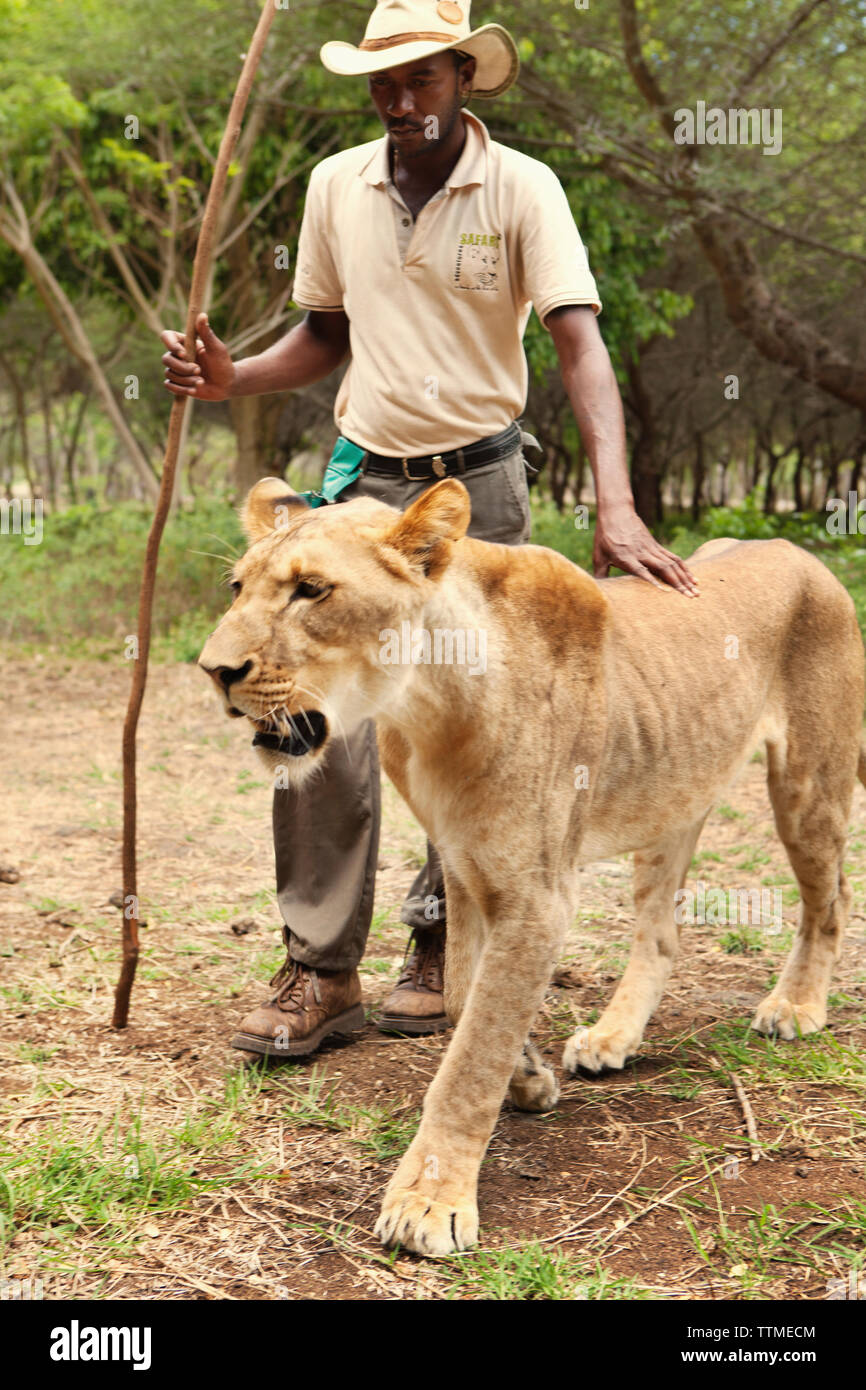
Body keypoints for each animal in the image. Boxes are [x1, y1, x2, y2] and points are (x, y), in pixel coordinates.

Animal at [199, 476, 866, 1258]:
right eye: (237, 588)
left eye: (311, 590)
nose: (216, 671)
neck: (426, 704)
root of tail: (800, 551)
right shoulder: (464, 867)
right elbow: (464, 996)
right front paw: (528, 1076)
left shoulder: (539, 896)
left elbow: (470, 1054)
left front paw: (430, 1200)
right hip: (675, 789)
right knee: (662, 932)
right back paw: (611, 1039)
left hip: (808, 780)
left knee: (831, 896)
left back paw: (795, 1008)